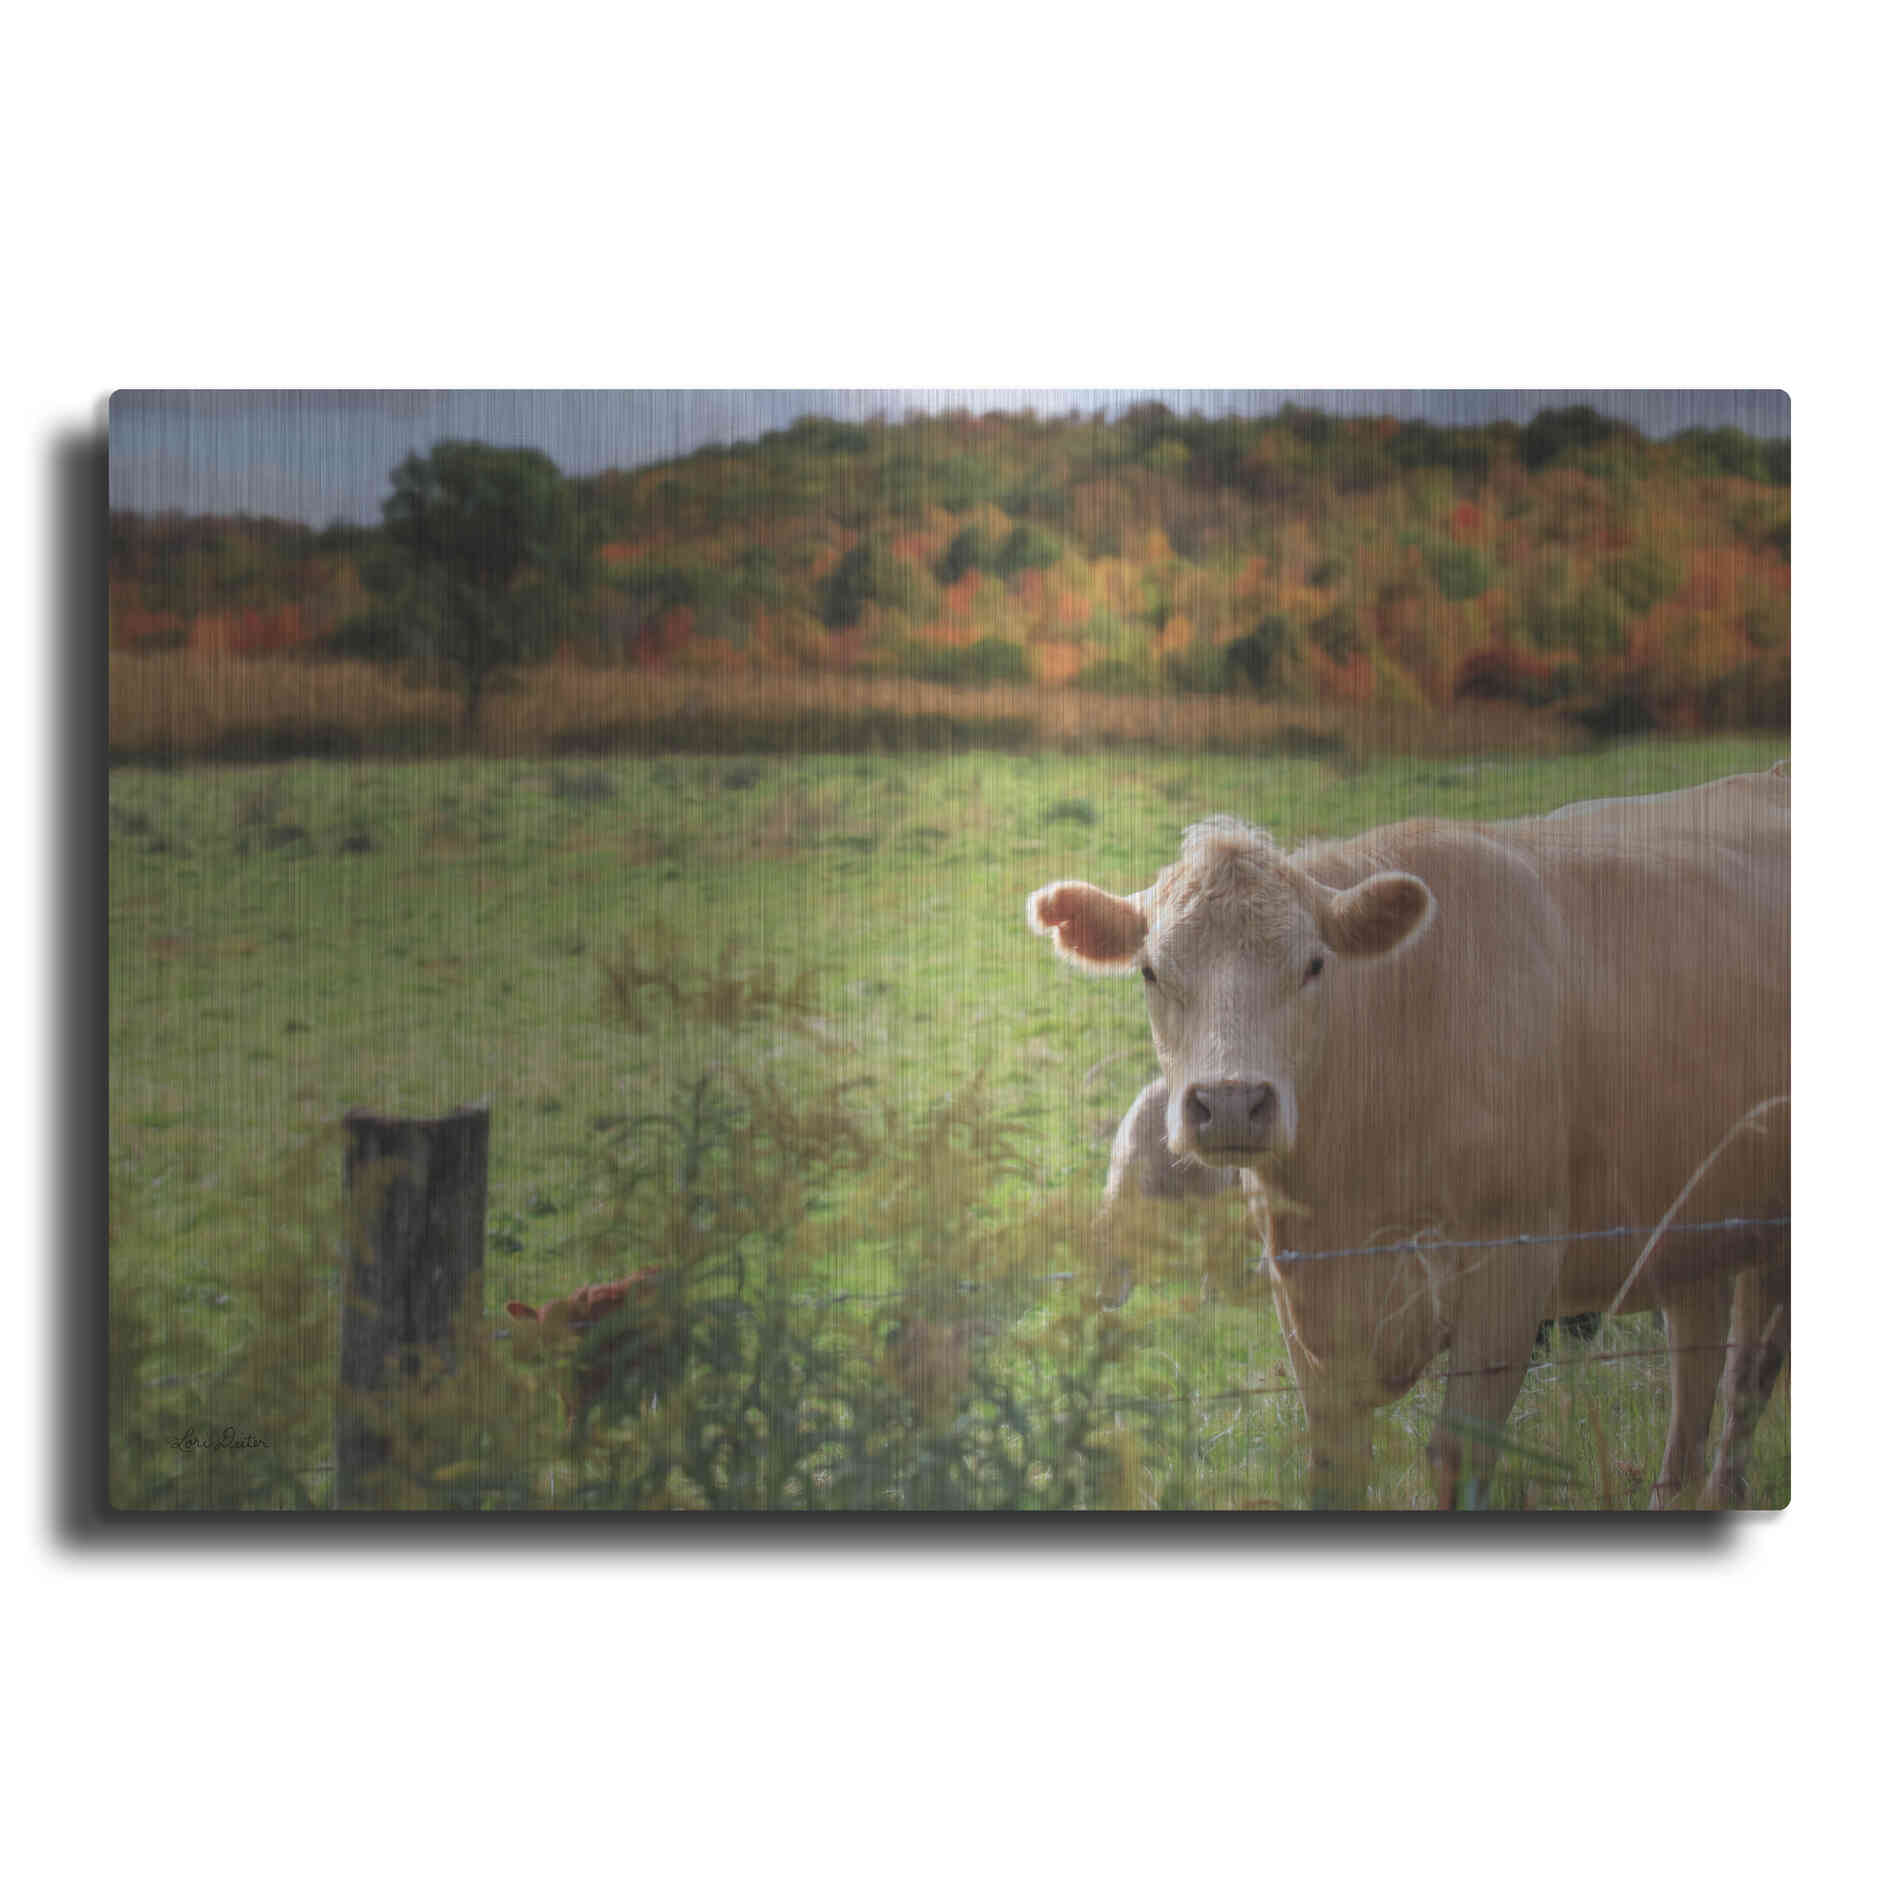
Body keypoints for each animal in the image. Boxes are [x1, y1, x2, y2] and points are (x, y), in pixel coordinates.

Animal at [1028, 768, 1789, 1509]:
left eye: (1314, 965)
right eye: (1151, 971)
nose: (1233, 1103)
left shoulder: (1514, 1265)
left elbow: (1459, 1457)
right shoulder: (1310, 1304)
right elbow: (1336, 1471)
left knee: (1747, 1376)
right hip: (1689, 1226)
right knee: (1695, 1363)